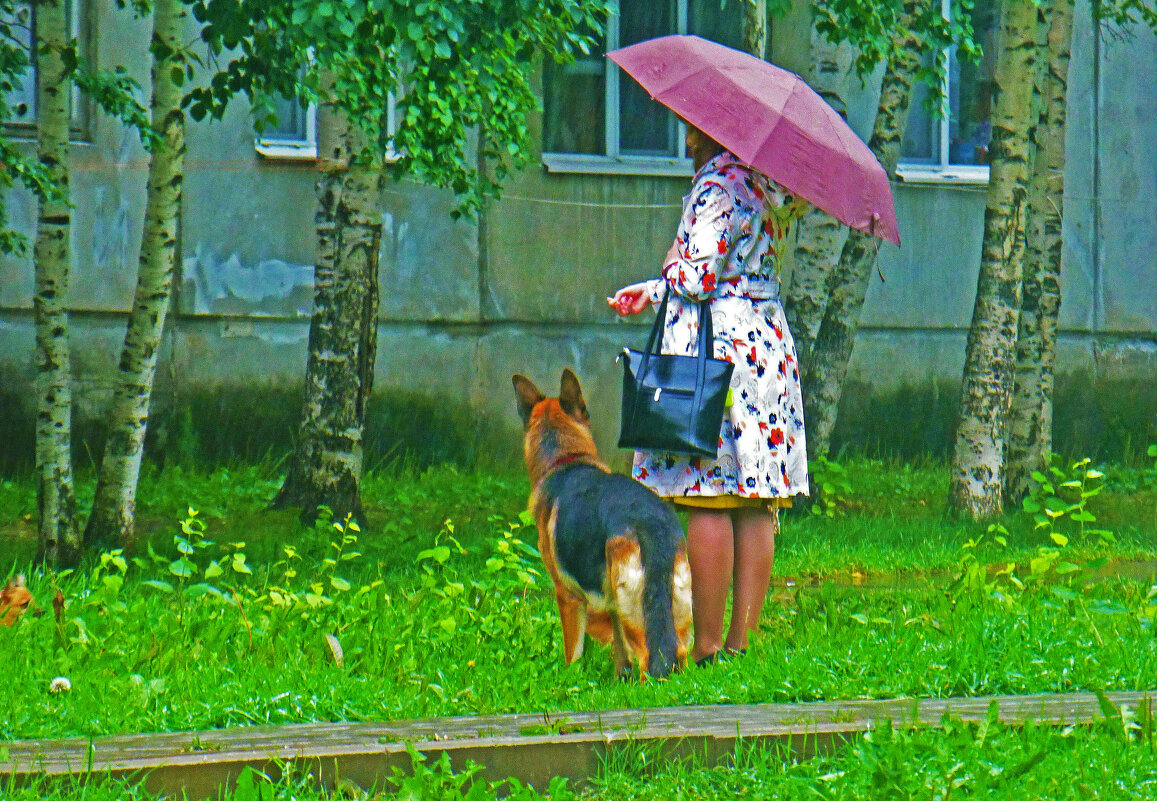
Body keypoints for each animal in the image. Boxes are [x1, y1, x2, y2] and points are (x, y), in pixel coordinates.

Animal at [513, 372, 689, 680]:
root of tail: (649, 523)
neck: (566, 460)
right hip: (672, 615)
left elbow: (573, 654)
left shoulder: (568, 598)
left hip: (636, 616)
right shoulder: (611, 604)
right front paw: (620, 681)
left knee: (648, 659)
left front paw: (570, 682)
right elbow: (620, 654)